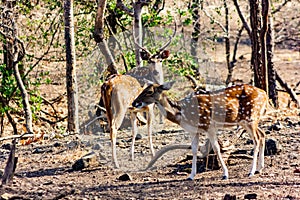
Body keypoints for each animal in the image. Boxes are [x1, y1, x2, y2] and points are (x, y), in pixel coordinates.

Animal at [132, 81, 268, 180]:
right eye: (142, 89)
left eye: (149, 91)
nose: (134, 103)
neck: (182, 113)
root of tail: (265, 94)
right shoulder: (194, 131)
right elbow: (194, 149)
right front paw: (191, 176)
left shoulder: (209, 126)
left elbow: (216, 148)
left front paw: (225, 174)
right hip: (247, 121)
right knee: (262, 134)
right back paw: (259, 168)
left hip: (251, 117)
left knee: (256, 139)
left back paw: (251, 171)